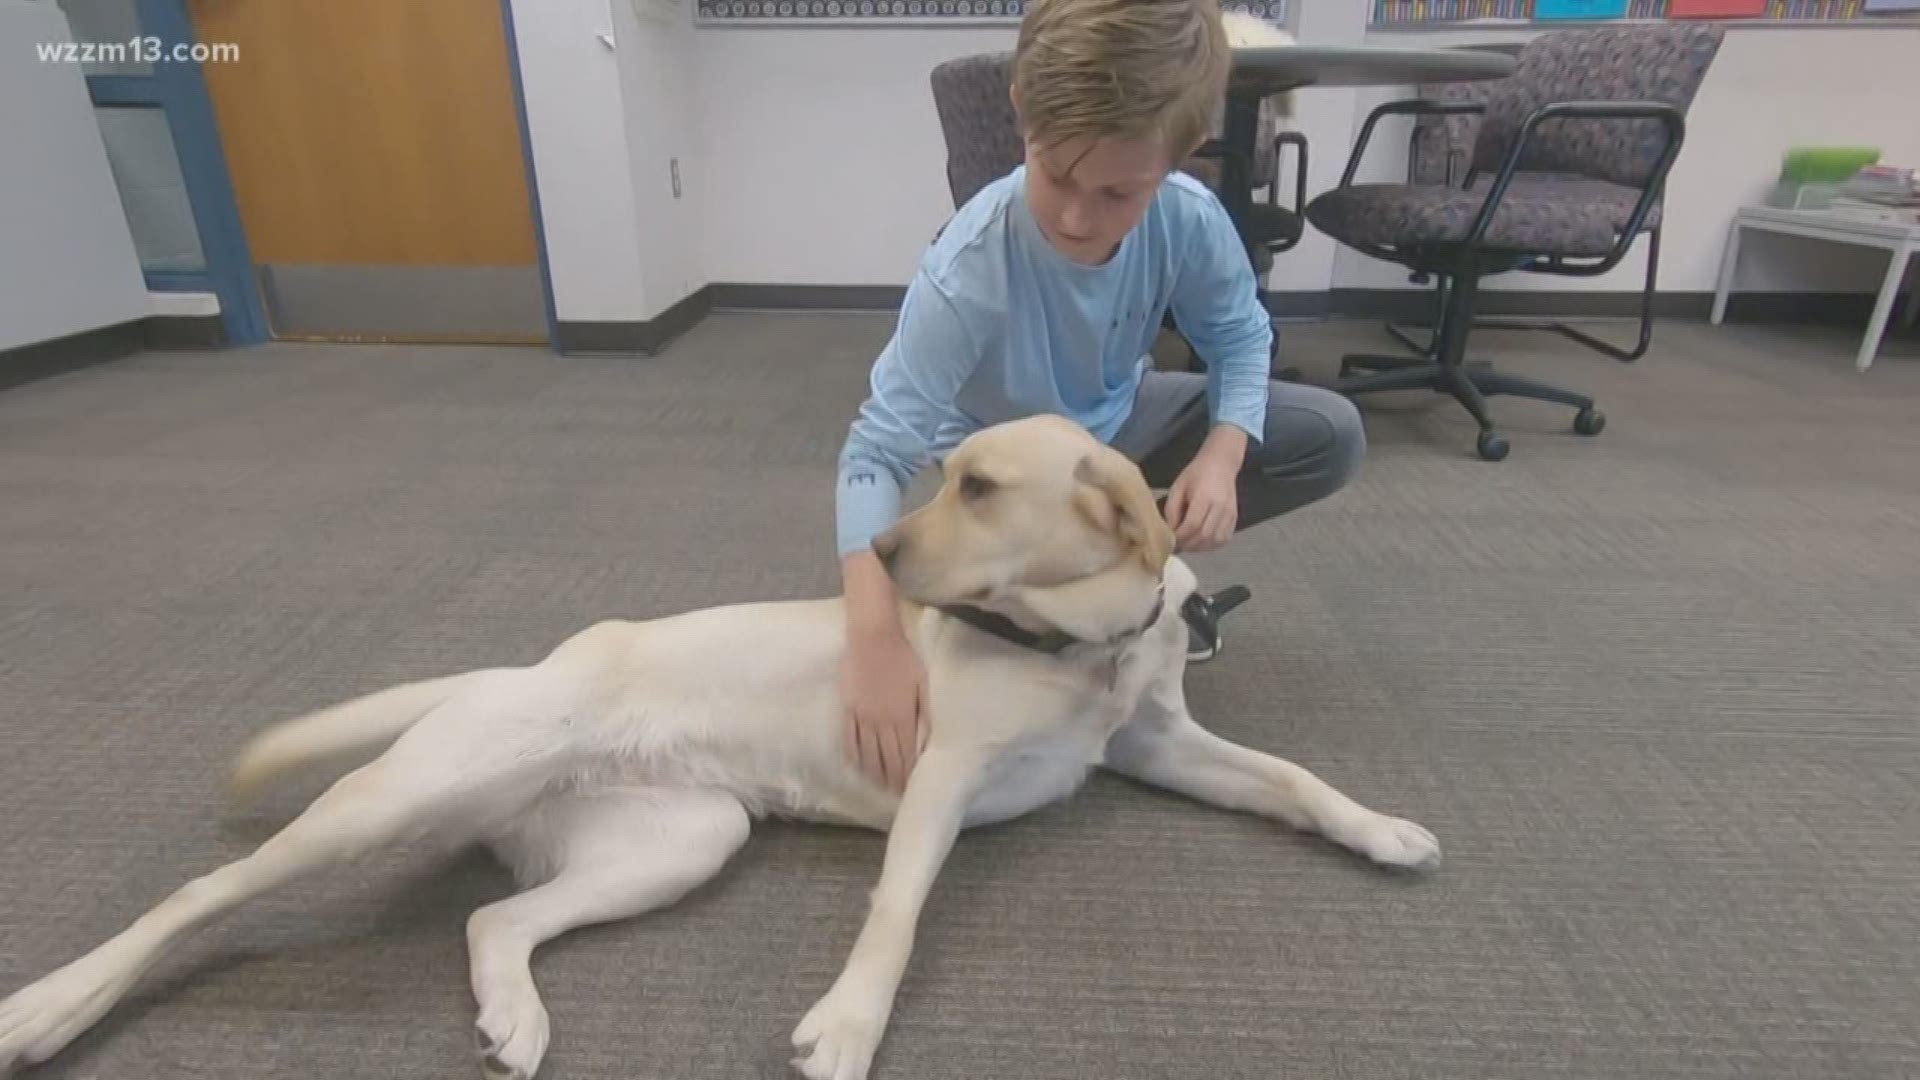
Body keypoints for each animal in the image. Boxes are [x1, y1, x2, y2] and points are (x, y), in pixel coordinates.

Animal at [0, 413, 1443, 1076]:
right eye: (937, 472)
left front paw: (1382, 828)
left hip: (684, 838)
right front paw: (850, 1025)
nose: (879, 556)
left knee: (493, 920)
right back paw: (50, 1007)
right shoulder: (940, 778)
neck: (1074, 643)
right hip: (414, 791)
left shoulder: (1156, 751)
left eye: (977, 488)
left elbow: (1297, 783)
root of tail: (528, 665)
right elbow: (897, 913)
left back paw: (515, 1016)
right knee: (203, 892)